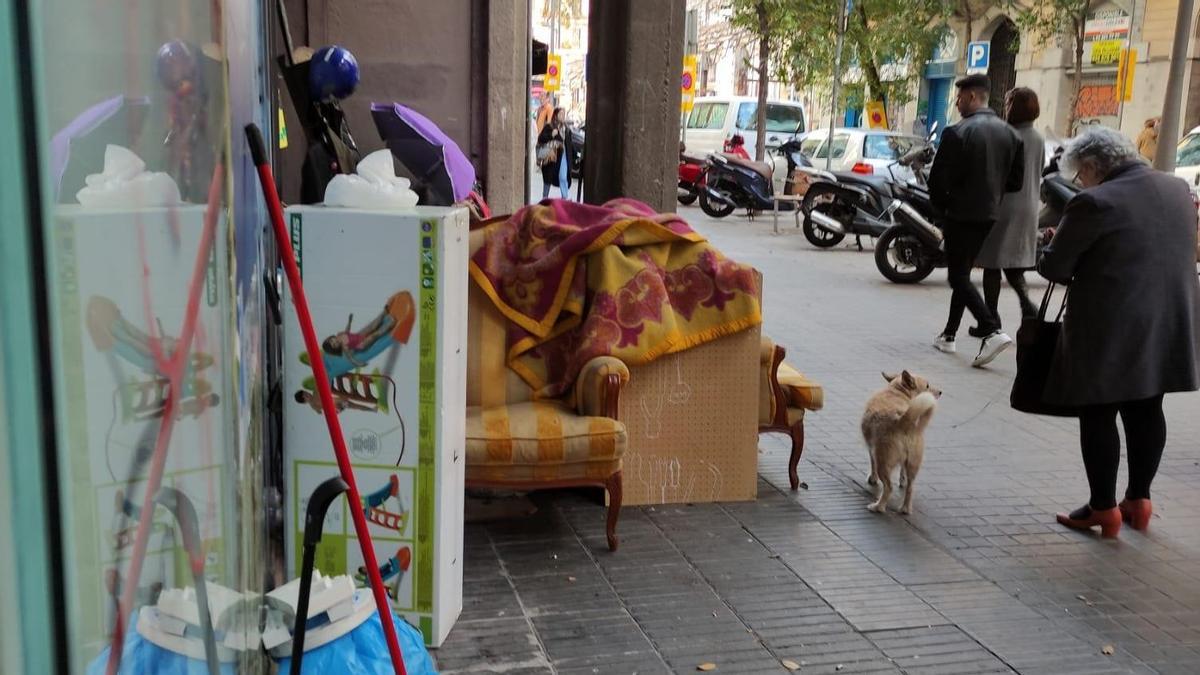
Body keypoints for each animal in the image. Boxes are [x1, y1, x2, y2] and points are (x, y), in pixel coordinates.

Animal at [868, 369, 940, 511]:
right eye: (927, 386)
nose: (940, 392)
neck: (897, 390)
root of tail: (904, 422)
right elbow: (902, 470)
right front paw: (902, 480)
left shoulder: (871, 448)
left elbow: (872, 463)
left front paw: (872, 479)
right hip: (913, 463)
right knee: (910, 487)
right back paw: (905, 509)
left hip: (882, 462)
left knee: (888, 487)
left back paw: (878, 507)